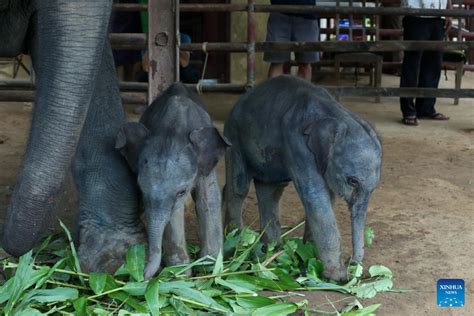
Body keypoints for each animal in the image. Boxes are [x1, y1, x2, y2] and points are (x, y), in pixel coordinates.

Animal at [115, 83, 230, 278]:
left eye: (181, 192)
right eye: (141, 188)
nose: (143, 276)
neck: (174, 128)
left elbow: (208, 198)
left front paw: (210, 268)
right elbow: (174, 214)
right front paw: (180, 272)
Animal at [224, 76, 384, 282]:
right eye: (352, 181)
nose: (352, 263)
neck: (337, 115)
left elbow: (326, 197)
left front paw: (309, 256)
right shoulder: (297, 145)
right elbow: (316, 198)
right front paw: (337, 278)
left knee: (270, 190)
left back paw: (272, 251)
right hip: (234, 137)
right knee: (239, 188)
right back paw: (236, 247)